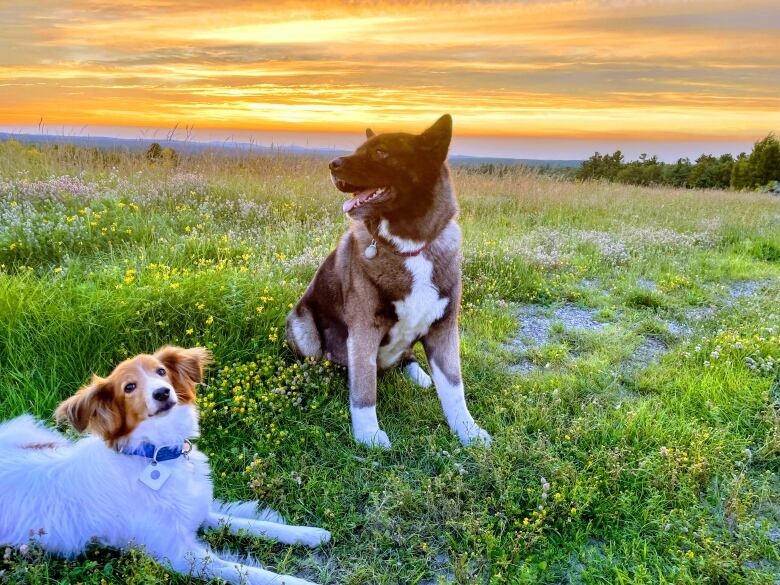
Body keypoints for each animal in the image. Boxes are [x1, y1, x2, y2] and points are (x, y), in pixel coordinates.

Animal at [0, 344, 330, 580]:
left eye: (160, 371)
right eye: (129, 387)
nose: (162, 392)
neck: (156, 455)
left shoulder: (197, 511)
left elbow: (251, 524)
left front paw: (308, 533)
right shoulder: (180, 556)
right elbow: (252, 572)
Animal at [290, 117, 490, 448]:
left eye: (381, 152)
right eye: (360, 149)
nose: (332, 165)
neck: (409, 246)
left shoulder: (444, 328)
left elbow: (454, 387)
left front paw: (468, 431)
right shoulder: (364, 329)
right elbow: (364, 388)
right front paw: (369, 435)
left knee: (407, 355)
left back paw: (418, 375)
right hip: (302, 325)